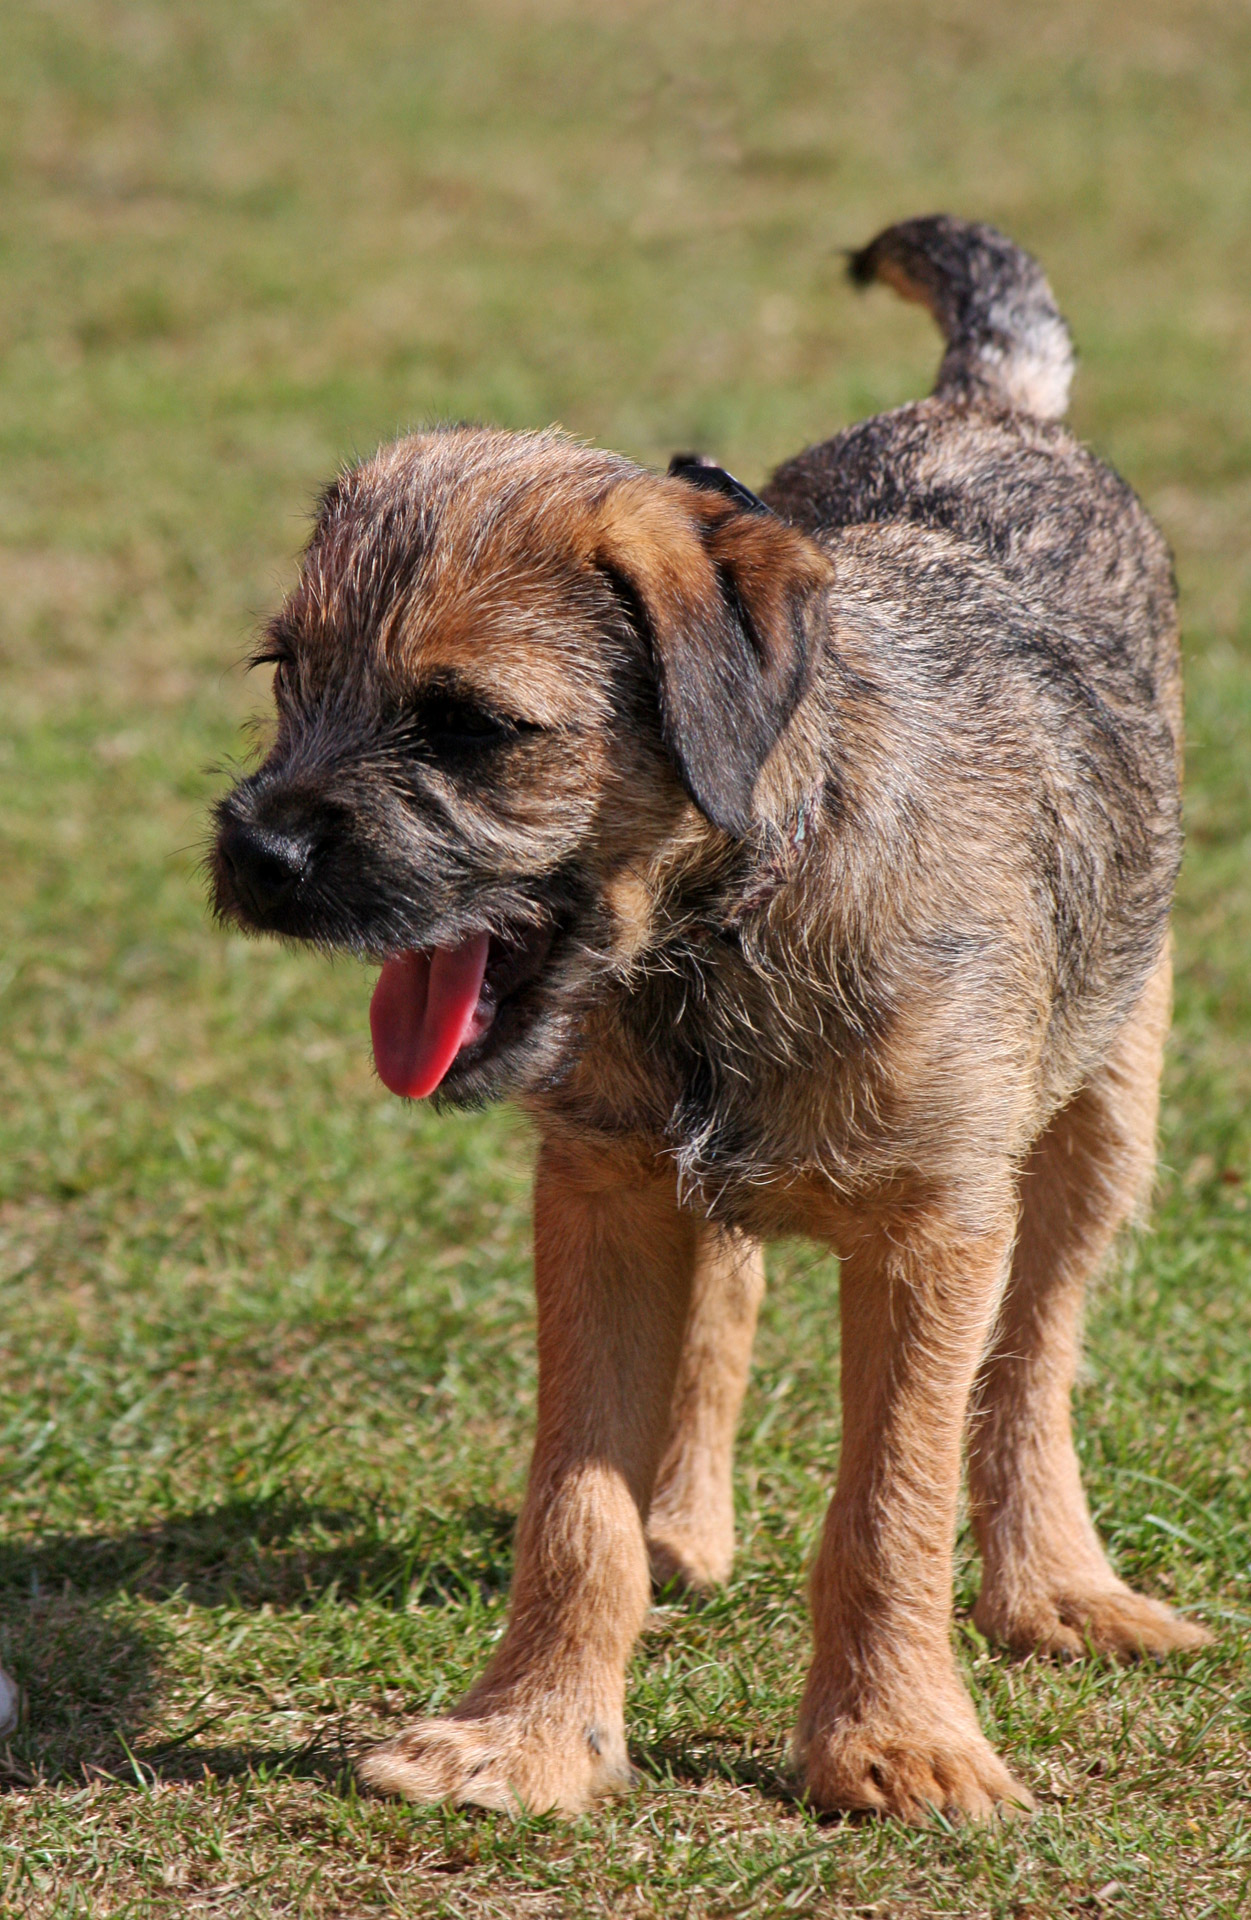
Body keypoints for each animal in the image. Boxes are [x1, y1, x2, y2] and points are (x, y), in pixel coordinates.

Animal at [210, 217, 1204, 1820]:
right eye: (287, 674)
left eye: (469, 726)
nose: (257, 850)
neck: (730, 923)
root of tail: (983, 406)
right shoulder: (600, 1193)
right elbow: (574, 1505)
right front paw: (532, 1732)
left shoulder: (937, 1225)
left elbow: (890, 1502)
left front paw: (892, 1741)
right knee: (724, 1298)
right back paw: (685, 1522)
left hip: (1106, 1102)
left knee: (1032, 1361)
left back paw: (1057, 1588)